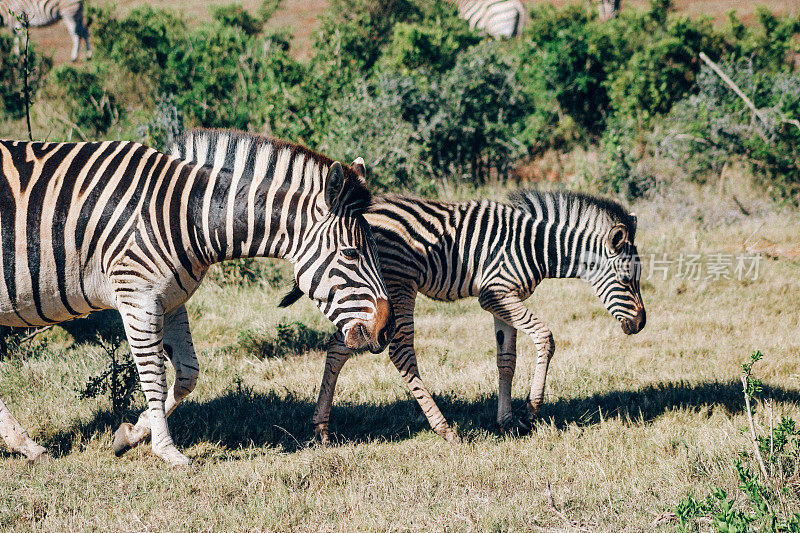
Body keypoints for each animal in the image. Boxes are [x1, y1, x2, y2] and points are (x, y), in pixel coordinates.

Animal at [0, 131, 394, 464]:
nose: (386, 330)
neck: (186, 216)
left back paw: (27, 447)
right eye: (351, 254)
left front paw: (131, 434)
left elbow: (187, 374)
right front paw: (167, 452)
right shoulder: (137, 297)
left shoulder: (171, 300)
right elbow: (154, 376)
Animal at [282, 189, 644, 442]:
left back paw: (321, 428)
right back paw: (444, 428)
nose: (640, 324)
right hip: (397, 287)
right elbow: (545, 337)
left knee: (339, 346)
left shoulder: (503, 300)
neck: (535, 247)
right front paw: (531, 411)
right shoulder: (496, 293)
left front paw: (506, 421)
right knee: (399, 351)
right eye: (627, 280)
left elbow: (506, 360)